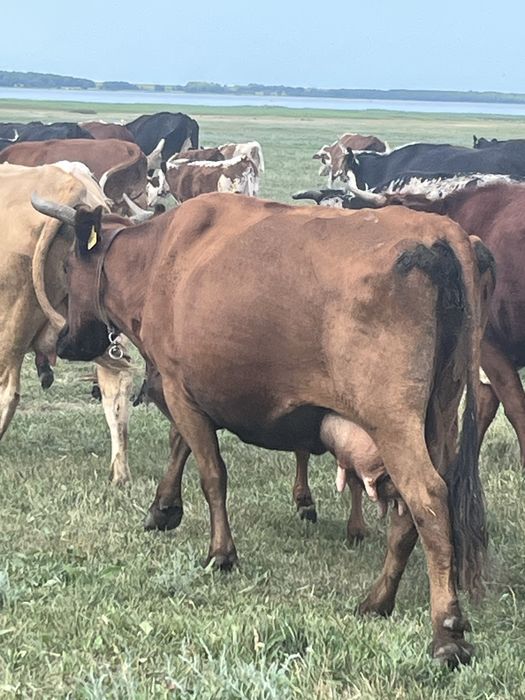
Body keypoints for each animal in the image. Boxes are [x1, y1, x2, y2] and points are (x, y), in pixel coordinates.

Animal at [32, 191, 488, 666]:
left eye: (67, 267)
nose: (65, 341)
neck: (159, 257)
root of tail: (440, 233)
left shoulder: (177, 384)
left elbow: (210, 473)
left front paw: (220, 553)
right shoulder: (190, 389)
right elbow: (180, 445)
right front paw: (163, 508)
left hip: (393, 423)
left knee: (428, 501)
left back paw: (446, 632)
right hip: (439, 416)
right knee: (407, 514)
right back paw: (378, 600)